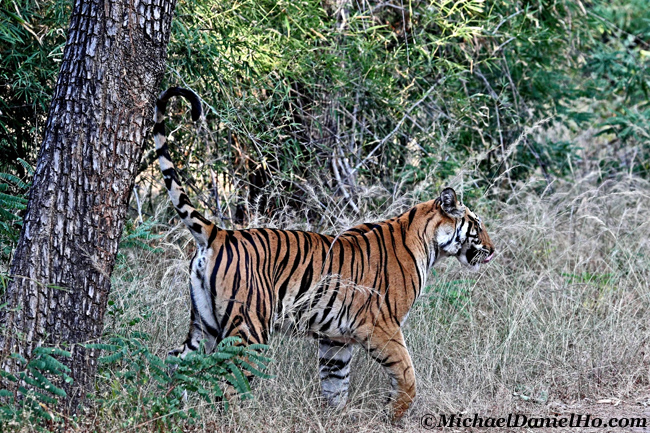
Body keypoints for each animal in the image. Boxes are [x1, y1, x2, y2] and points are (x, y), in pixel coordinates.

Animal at [153, 86, 496, 420]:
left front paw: (335, 416)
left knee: (175, 361)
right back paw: (229, 419)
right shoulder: (382, 326)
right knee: (228, 382)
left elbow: (335, 381)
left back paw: (167, 409)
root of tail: (219, 233)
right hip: (250, 329)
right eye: (477, 226)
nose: (493, 251)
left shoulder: (336, 339)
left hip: (204, 324)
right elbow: (407, 373)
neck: (428, 243)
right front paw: (395, 413)